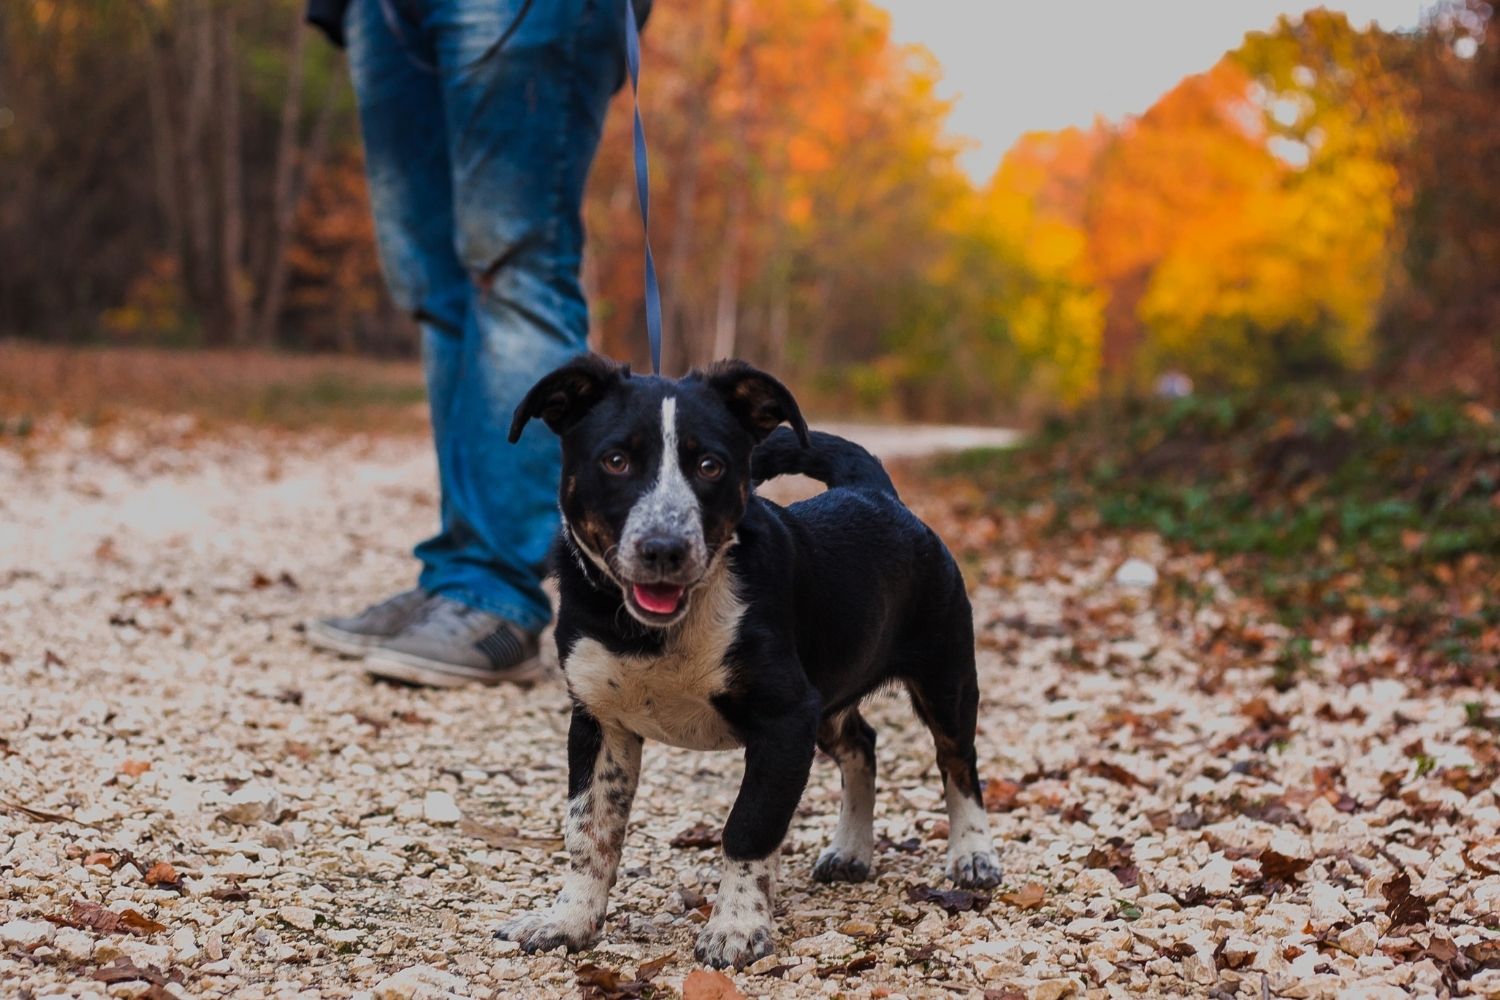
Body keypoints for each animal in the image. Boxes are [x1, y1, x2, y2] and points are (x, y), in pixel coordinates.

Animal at [498, 353, 1002, 971]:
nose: (664, 549)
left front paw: (736, 929)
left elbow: (749, 826)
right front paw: (568, 920)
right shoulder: (599, 721)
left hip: (943, 674)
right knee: (862, 744)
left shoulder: (784, 719)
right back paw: (850, 849)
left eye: (710, 465)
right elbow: (589, 829)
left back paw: (973, 855)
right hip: (829, 698)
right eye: (615, 461)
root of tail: (878, 493)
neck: (655, 632)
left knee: (958, 761)